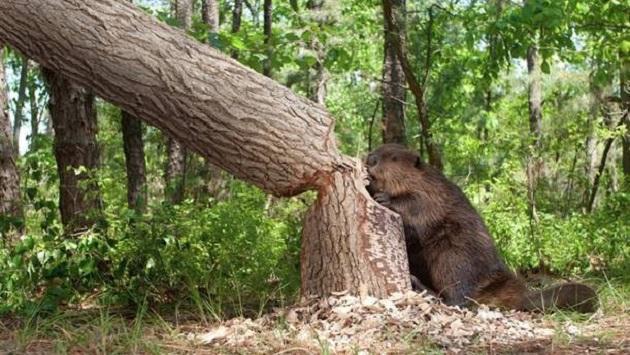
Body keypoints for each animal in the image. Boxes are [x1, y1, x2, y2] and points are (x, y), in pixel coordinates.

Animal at [366, 143, 596, 312]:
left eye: (393, 158)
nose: (370, 159)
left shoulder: (432, 192)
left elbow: (417, 206)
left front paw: (384, 197)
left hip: (454, 255)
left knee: (459, 298)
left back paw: (422, 287)